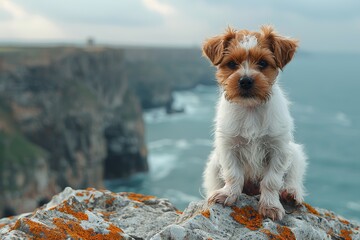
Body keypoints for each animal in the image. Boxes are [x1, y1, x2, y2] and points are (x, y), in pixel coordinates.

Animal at [202, 25, 306, 219]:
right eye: (232, 64)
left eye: (263, 63)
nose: (245, 80)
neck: (250, 109)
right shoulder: (228, 146)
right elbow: (233, 174)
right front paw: (228, 194)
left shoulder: (278, 149)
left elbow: (271, 181)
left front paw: (270, 205)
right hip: (213, 164)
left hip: (295, 154)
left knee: (292, 176)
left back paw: (290, 192)